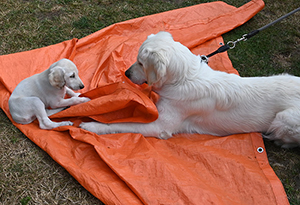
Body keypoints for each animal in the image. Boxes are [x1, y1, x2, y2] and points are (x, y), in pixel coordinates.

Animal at [79, 31, 300, 148]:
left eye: (141, 63)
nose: (126, 73)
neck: (183, 78)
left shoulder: (160, 127)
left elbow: (122, 124)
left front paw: (92, 126)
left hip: (283, 118)